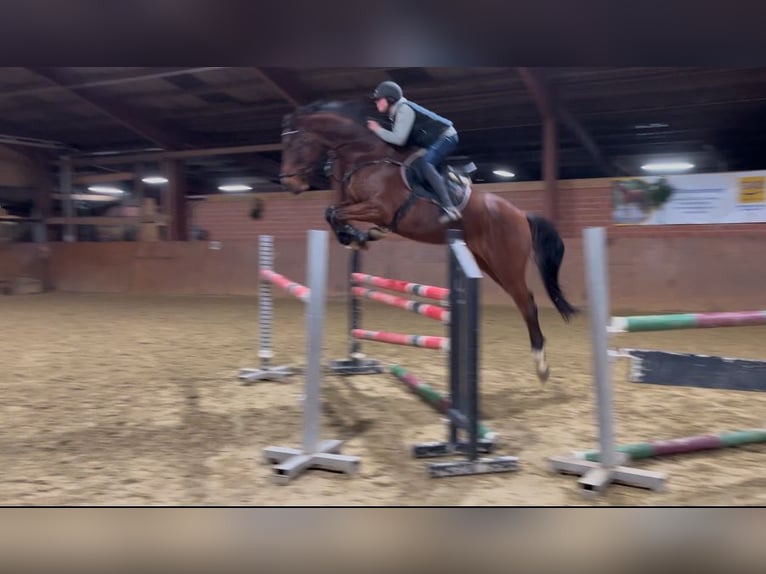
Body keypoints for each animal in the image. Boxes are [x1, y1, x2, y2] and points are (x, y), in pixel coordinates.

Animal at [280, 101, 580, 384]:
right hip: (489, 263)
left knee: (527, 302)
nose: (290, 184)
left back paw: (541, 364)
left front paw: (354, 236)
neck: (366, 157)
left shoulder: (379, 209)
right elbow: (331, 211)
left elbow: (334, 212)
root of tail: (521, 214)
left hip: (507, 264)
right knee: (522, 300)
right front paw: (356, 237)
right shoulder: (355, 203)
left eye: (297, 143)